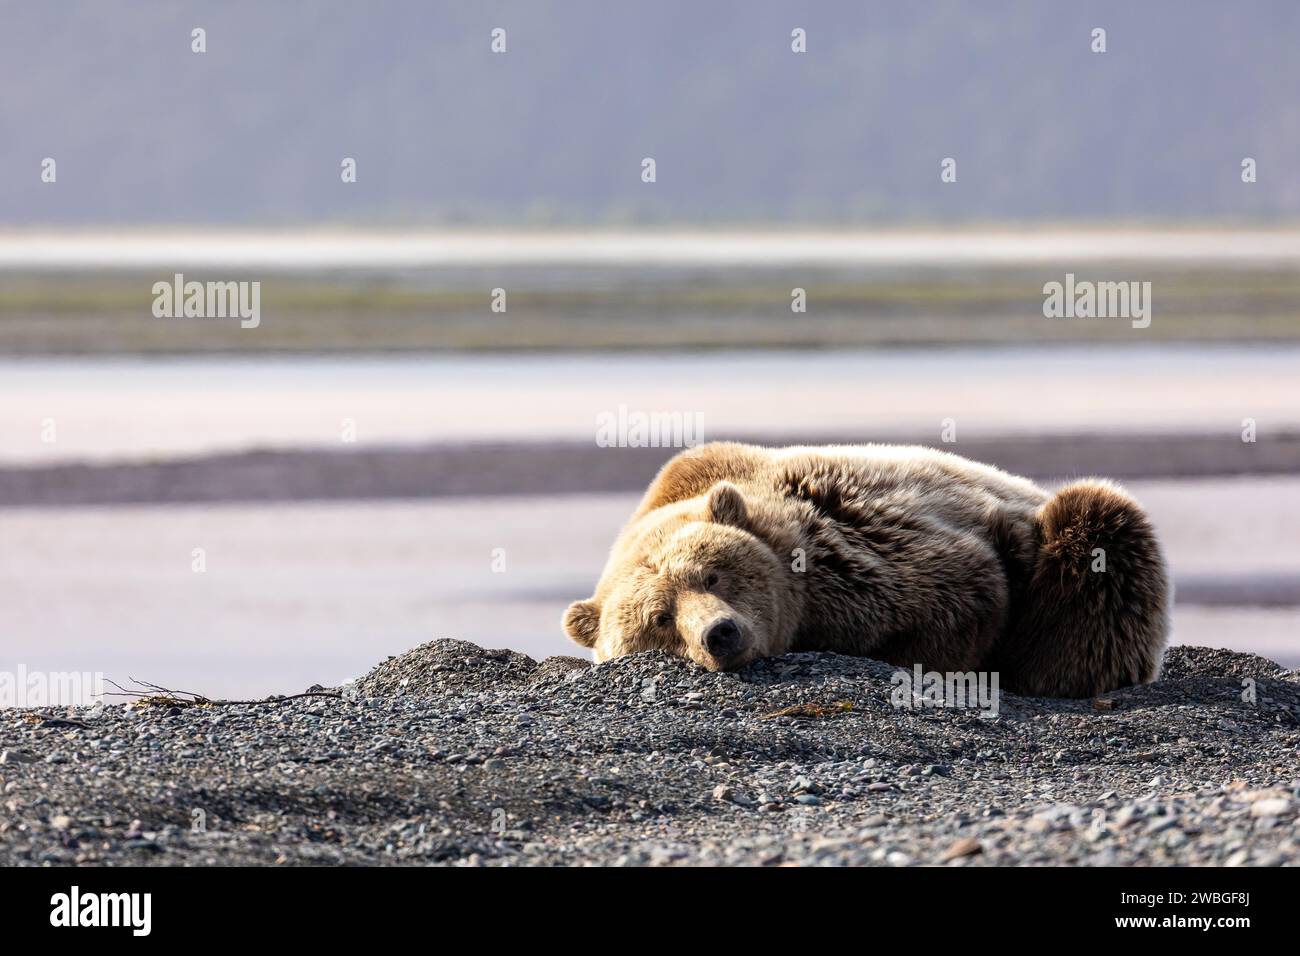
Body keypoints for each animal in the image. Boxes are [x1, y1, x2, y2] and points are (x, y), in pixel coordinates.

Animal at [564, 444, 1175, 697]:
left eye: (712, 574)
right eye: (661, 618)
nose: (720, 633)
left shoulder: (861, 550)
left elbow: (964, 598)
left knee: (1098, 523)